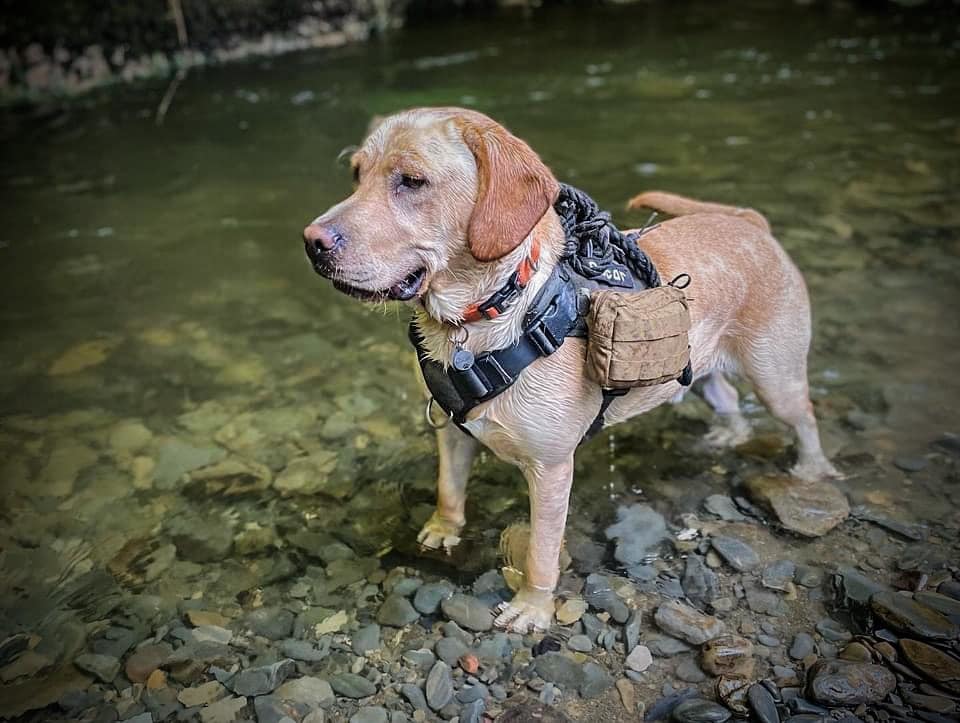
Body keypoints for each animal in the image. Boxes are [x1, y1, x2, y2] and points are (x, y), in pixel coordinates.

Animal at [304, 107, 836, 632]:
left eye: (412, 181)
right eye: (356, 175)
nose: (312, 242)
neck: (484, 317)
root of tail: (752, 223)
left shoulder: (552, 469)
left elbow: (541, 552)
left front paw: (532, 608)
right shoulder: (453, 433)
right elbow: (448, 491)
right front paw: (442, 530)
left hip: (774, 377)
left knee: (805, 416)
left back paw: (812, 472)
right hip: (695, 369)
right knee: (725, 397)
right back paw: (729, 434)